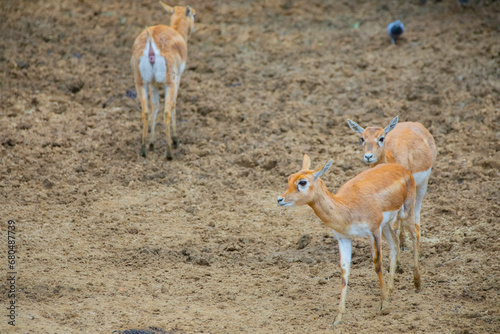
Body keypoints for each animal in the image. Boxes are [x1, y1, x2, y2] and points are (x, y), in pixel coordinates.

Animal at [130, 1, 196, 159]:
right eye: (194, 14)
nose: (194, 28)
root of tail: (150, 44)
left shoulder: (153, 85)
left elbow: (154, 108)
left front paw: (152, 144)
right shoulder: (177, 79)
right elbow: (173, 105)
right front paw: (175, 141)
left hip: (140, 83)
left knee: (145, 112)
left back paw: (143, 149)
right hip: (169, 83)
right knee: (167, 111)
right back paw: (169, 152)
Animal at [276, 155, 420, 324]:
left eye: (303, 182)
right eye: (289, 178)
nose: (280, 199)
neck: (348, 208)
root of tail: (402, 168)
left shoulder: (373, 231)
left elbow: (377, 264)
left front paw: (383, 305)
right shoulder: (343, 238)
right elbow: (344, 271)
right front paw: (338, 317)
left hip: (405, 212)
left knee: (416, 231)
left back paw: (417, 283)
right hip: (385, 226)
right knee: (395, 244)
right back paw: (391, 292)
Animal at [348, 116, 438, 247]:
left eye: (381, 138)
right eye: (362, 138)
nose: (368, 156)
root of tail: (416, 124)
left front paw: (401, 242)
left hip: (422, 185)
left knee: (416, 209)